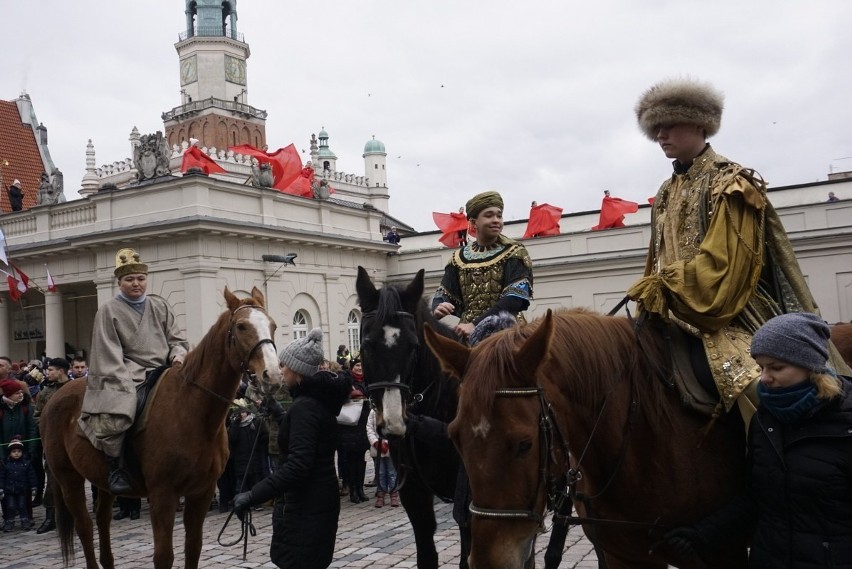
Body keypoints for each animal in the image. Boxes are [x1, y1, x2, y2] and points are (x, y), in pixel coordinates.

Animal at [41, 288, 282, 568]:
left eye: (273, 325)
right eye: (242, 326)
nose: (273, 375)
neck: (192, 410)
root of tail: (55, 398)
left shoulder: (201, 492)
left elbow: (193, 548)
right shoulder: (162, 495)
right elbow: (164, 556)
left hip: (100, 479)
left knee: (102, 520)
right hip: (68, 477)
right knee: (85, 527)